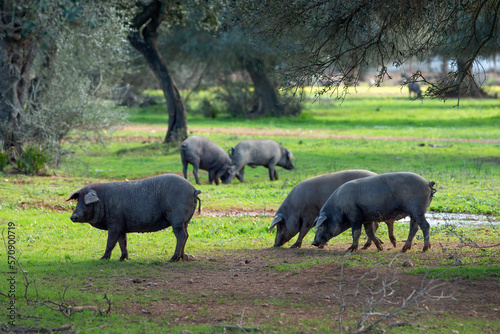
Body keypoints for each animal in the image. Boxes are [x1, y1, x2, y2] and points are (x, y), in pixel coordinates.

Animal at [66, 174, 201, 262]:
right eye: (78, 201)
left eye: (86, 203)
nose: (73, 216)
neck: (103, 201)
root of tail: (193, 190)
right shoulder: (122, 226)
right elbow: (122, 242)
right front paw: (121, 259)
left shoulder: (115, 224)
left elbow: (111, 242)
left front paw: (102, 259)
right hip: (186, 221)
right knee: (186, 235)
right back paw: (183, 258)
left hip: (177, 219)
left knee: (181, 235)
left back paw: (172, 259)